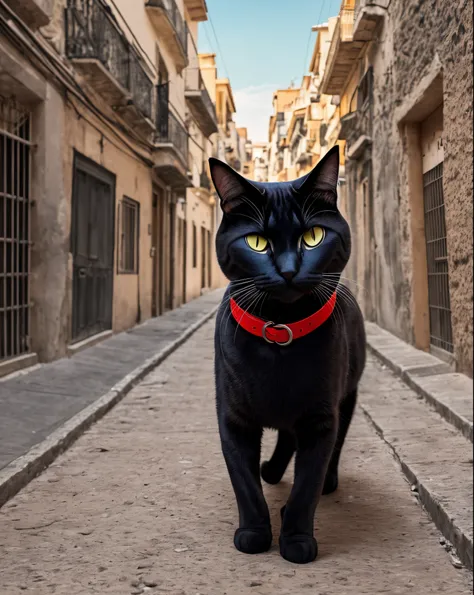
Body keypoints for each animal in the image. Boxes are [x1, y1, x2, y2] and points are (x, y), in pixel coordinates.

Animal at [210, 147, 366, 564]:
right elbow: (245, 484)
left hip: (347, 395)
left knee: (329, 446)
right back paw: (272, 471)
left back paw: (325, 480)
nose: (289, 270)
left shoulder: (321, 418)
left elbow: (306, 485)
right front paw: (254, 533)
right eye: (256, 242)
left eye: (313, 237)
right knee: (284, 438)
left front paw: (296, 540)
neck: (280, 336)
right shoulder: (233, 418)